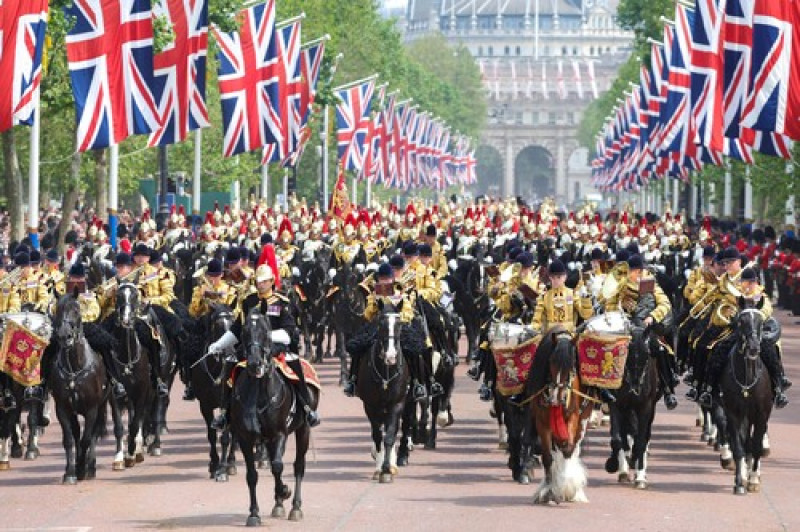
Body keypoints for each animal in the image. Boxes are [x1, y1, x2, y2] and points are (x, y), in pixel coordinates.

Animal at [49, 294, 112, 484]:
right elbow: (69, 440)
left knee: (93, 433)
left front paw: (83, 469)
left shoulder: (92, 409)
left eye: (76, 310)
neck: (74, 370)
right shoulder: (62, 409)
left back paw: (89, 467)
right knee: (77, 433)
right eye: (57, 309)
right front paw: (71, 472)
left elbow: (87, 439)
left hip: (101, 405)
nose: (65, 336)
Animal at [192, 304, 239, 482]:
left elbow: (225, 437)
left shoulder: (227, 404)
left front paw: (223, 469)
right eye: (218, 325)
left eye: (234, 322)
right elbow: (211, 435)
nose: (231, 354)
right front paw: (213, 464)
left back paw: (231, 463)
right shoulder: (205, 405)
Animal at [230, 310, 318, 524]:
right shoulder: (245, 437)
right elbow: (252, 475)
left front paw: (284, 490)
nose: (255, 364)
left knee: (298, 466)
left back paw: (295, 507)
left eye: (266, 331)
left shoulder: (279, 433)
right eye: (244, 332)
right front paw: (254, 514)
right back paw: (278, 504)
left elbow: (278, 466)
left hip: (303, 429)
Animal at [532, 330, 592, 504]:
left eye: (572, 364)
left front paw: (567, 487)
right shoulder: (542, 422)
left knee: (573, 449)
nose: (557, 398)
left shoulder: (573, 417)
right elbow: (547, 457)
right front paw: (548, 491)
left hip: (583, 420)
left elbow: (568, 449)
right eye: (551, 361)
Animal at [720, 300, 772, 494]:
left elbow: (756, 446)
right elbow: (738, 447)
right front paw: (739, 482)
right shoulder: (733, 413)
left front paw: (754, 480)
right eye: (740, 321)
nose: (753, 348)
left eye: (761, 322)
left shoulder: (761, 414)